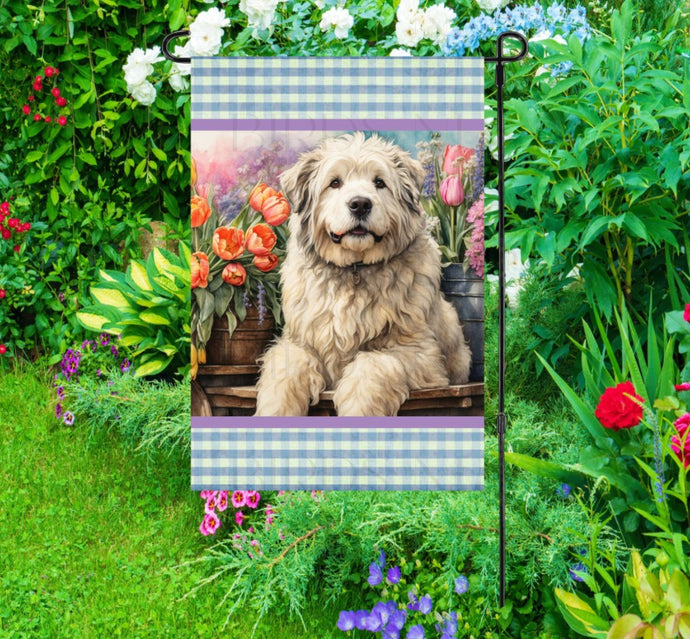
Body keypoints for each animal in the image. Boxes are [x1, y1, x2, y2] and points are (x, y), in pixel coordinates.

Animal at [255, 132, 470, 418]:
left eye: (379, 182)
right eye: (335, 183)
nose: (359, 204)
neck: (355, 269)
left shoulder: (420, 354)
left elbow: (372, 365)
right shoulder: (298, 342)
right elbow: (284, 373)